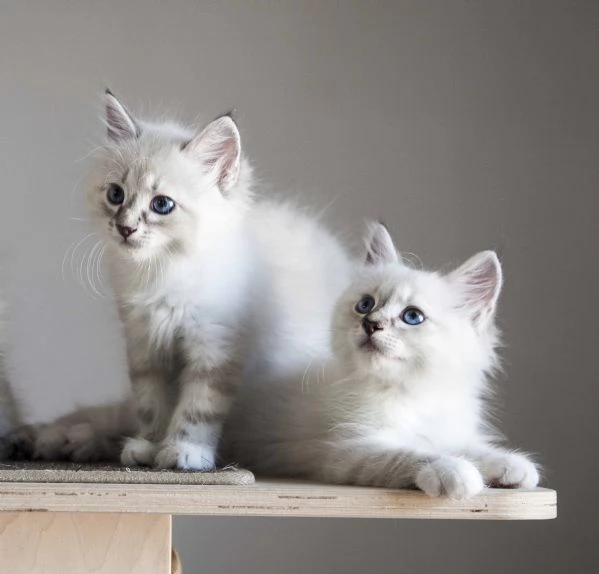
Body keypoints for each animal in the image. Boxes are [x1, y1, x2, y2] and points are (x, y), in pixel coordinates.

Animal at [11, 91, 350, 470]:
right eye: (115, 195)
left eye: (162, 205)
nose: (125, 228)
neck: (163, 271)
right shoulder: (145, 346)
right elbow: (151, 405)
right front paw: (148, 447)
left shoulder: (215, 346)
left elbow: (198, 407)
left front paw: (183, 451)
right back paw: (59, 441)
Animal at [223, 223, 540, 498]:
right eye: (365, 305)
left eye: (412, 316)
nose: (371, 324)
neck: (413, 394)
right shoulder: (350, 448)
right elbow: (407, 454)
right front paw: (453, 471)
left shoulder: (446, 430)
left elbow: (470, 447)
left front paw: (512, 466)